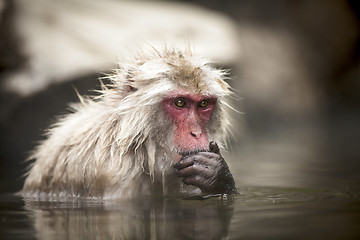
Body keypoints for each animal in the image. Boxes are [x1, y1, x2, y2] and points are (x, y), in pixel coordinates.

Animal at [21, 47, 238, 199]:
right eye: (180, 103)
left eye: (203, 104)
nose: (196, 133)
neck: (141, 150)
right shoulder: (109, 173)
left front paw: (216, 175)